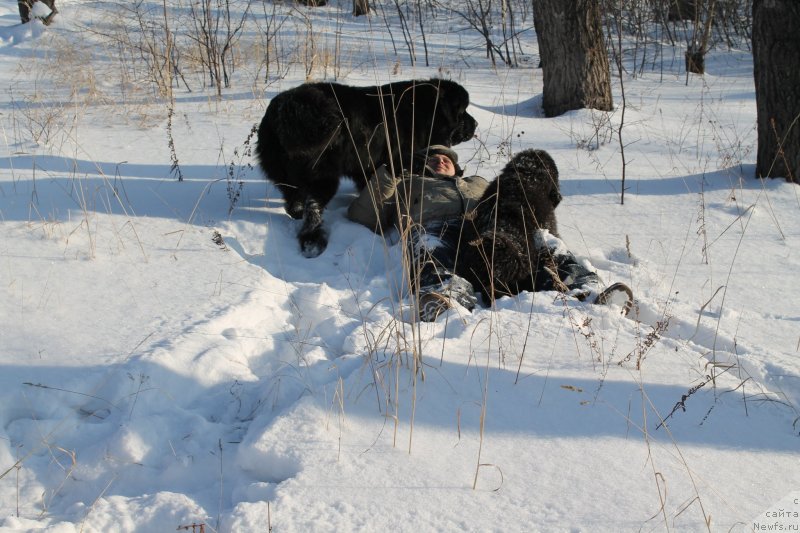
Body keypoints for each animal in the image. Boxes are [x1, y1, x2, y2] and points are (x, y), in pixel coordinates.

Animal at [255, 77, 476, 258]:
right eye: (462, 111)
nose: (476, 124)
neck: (421, 112)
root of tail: (288, 109)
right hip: (323, 176)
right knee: (313, 208)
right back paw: (313, 240)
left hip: (283, 174)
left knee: (294, 201)